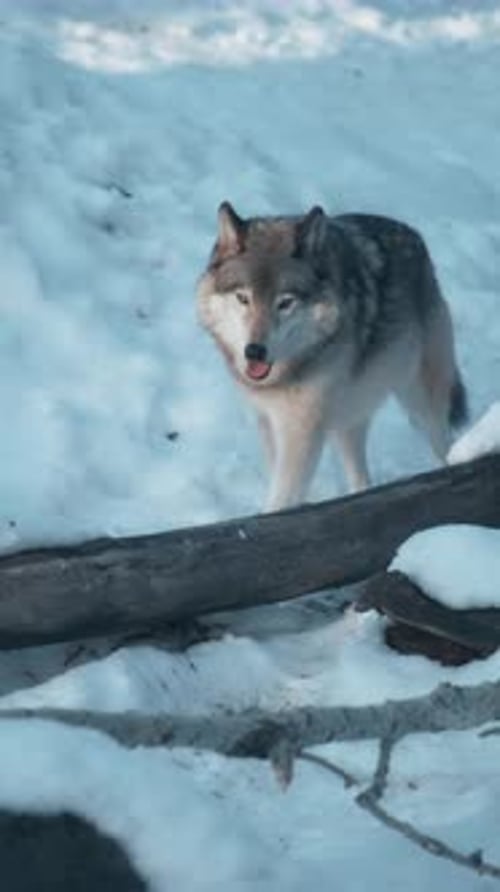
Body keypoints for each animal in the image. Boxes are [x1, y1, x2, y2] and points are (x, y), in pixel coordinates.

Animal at [197, 202, 467, 512]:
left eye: (285, 303)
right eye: (243, 298)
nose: (254, 351)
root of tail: (417, 240)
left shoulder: (301, 433)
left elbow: (281, 498)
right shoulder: (267, 421)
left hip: (421, 406)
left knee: (445, 446)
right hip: (349, 422)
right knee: (362, 483)